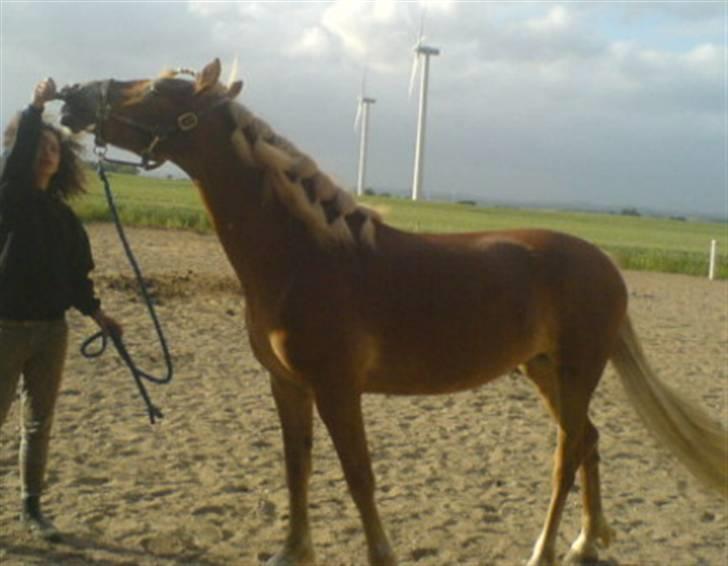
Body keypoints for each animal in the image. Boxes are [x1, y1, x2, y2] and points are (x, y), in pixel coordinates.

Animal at [58, 60, 728, 564]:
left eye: (157, 90)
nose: (71, 98)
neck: (305, 255)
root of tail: (607, 265)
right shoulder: (287, 386)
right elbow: (297, 467)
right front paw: (291, 551)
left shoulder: (336, 387)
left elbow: (358, 475)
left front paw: (380, 553)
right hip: (544, 370)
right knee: (588, 439)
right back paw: (586, 543)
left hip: (575, 371)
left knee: (567, 454)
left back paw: (542, 551)